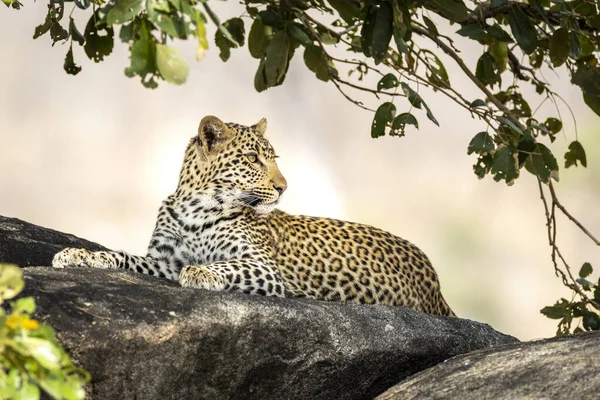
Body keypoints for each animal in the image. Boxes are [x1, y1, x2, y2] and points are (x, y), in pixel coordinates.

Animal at [52, 115, 454, 316]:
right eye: (252, 158)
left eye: (273, 158)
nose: (284, 187)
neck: (194, 206)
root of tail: (435, 281)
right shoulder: (163, 261)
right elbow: (122, 256)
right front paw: (79, 255)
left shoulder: (265, 268)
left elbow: (223, 266)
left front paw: (200, 273)